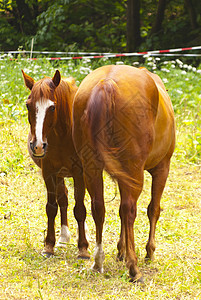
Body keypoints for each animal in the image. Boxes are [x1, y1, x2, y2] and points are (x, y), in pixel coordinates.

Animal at [21, 69, 89, 258]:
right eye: (28, 105)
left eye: (52, 107)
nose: (37, 146)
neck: (64, 135)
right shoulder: (49, 172)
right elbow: (52, 207)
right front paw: (49, 246)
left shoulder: (79, 172)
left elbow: (80, 209)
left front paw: (83, 248)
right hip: (59, 174)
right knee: (63, 198)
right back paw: (64, 237)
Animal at [73, 64, 175, 282]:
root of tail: (107, 83)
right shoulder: (162, 168)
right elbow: (153, 209)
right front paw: (148, 251)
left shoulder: (122, 174)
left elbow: (118, 210)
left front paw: (121, 250)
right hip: (134, 170)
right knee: (129, 210)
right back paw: (134, 268)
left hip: (92, 168)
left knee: (99, 208)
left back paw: (98, 262)